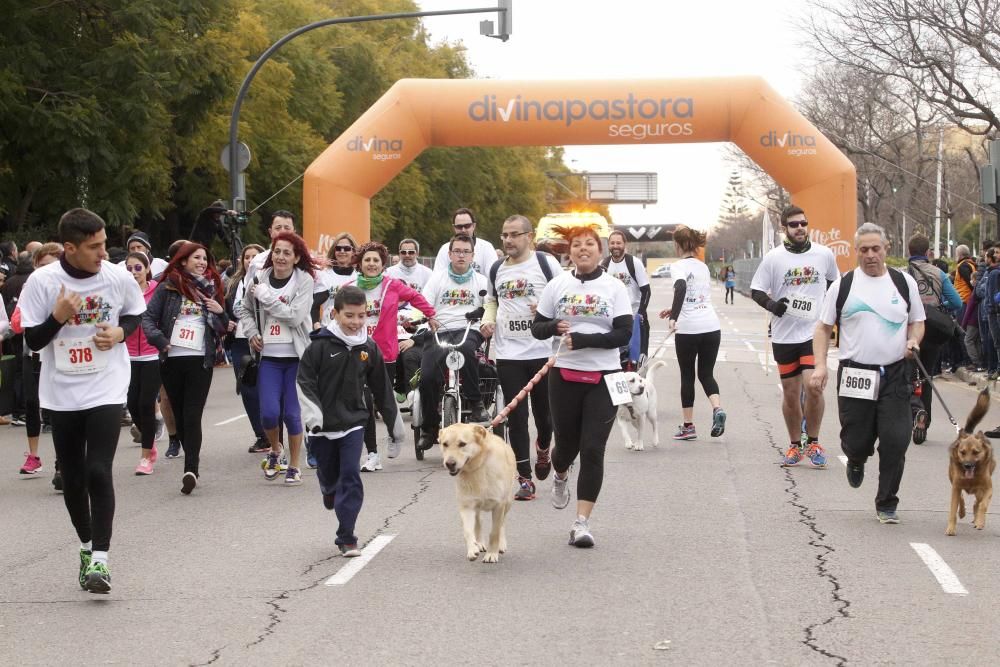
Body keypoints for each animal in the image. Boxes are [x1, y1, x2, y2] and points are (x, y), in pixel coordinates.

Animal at [438, 422, 516, 564]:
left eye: (462, 444)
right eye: (445, 444)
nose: (449, 463)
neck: (478, 467)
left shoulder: (499, 505)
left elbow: (495, 532)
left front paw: (492, 554)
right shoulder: (466, 506)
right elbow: (468, 531)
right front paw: (472, 549)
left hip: (508, 501)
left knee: (502, 523)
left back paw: (501, 545)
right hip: (477, 506)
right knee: (479, 521)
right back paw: (479, 543)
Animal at [944, 386, 992, 536]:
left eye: (976, 452)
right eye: (962, 452)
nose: (967, 465)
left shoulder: (988, 488)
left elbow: (983, 505)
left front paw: (980, 522)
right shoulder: (956, 486)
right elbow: (954, 506)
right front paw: (951, 527)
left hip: (980, 491)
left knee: (978, 503)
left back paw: (977, 520)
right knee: (964, 500)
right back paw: (964, 513)